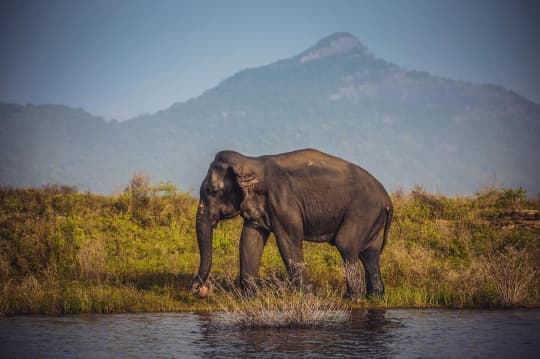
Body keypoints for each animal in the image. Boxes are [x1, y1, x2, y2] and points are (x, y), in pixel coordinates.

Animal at [190, 148, 392, 300]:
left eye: (212, 191)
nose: (198, 290)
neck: (251, 162)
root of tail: (388, 200)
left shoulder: (282, 201)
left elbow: (288, 241)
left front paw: (308, 298)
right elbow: (250, 240)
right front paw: (252, 299)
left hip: (363, 211)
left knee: (346, 244)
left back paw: (350, 298)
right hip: (373, 217)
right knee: (370, 254)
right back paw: (374, 297)